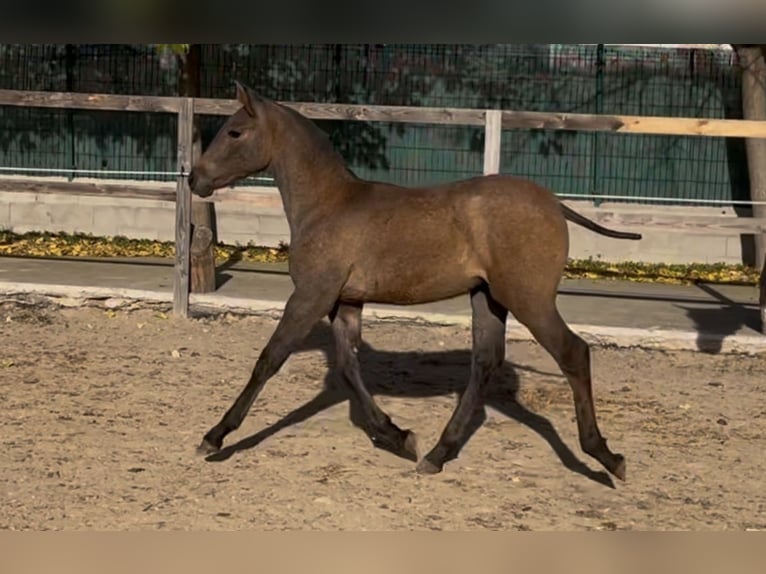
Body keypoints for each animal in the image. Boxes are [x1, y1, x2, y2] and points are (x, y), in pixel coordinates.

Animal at [189, 81, 644, 482]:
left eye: (234, 131)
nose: (195, 178)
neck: (327, 205)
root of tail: (555, 204)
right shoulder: (344, 302)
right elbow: (349, 368)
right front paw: (398, 436)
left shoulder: (311, 296)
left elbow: (270, 358)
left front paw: (214, 437)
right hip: (488, 298)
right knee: (485, 362)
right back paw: (437, 454)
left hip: (529, 298)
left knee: (573, 352)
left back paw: (607, 457)